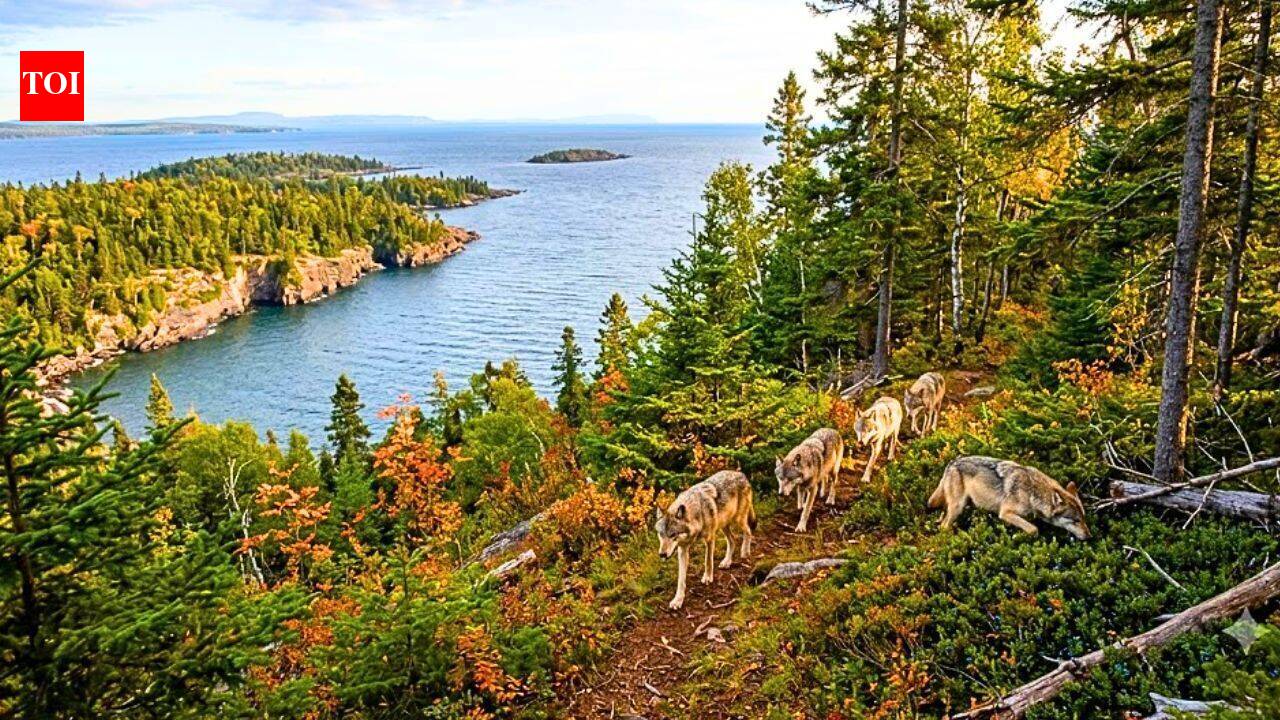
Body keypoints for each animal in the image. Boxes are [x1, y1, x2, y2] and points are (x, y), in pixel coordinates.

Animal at [654, 470, 757, 610]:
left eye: (673, 534)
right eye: (661, 534)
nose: (662, 554)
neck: (698, 512)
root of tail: (741, 474)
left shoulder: (709, 539)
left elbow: (708, 561)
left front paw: (708, 577)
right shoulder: (682, 550)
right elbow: (681, 579)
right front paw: (678, 600)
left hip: (738, 520)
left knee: (748, 532)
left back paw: (745, 552)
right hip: (724, 525)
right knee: (733, 540)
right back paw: (727, 562)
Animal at [927, 455, 1091, 540]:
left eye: (1083, 519)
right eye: (1076, 520)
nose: (1089, 536)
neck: (1032, 492)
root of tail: (951, 463)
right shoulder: (1005, 513)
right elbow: (1033, 529)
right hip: (958, 507)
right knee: (943, 526)